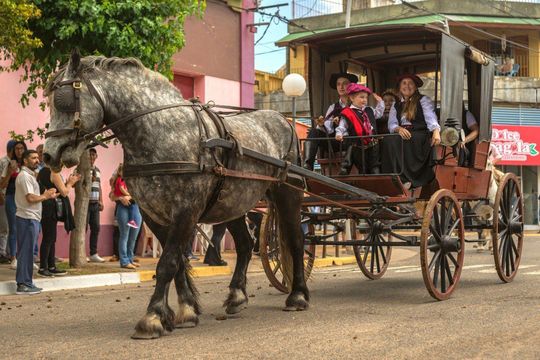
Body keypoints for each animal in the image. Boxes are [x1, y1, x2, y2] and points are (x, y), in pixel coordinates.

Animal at [43, 51, 310, 340]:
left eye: (63, 99)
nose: (48, 154)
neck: (161, 132)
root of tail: (284, 120)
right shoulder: (153, 215)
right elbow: (178, 262)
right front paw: (185, 311)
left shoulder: (186, 210)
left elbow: (168, 263)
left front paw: (152, 318)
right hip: (232, 202)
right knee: (245, 245)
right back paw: (237, 296)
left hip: (288, 193)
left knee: (296, 241)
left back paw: (297, 296)